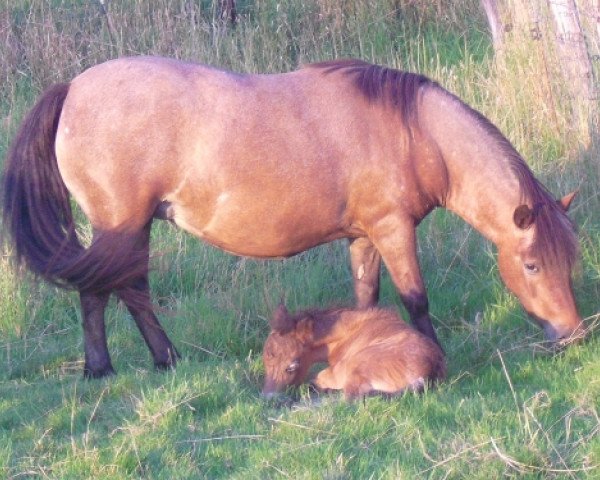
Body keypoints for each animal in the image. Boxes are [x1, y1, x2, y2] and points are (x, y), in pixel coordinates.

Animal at [2, 57, 584, 378]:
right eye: (532, 265)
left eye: (571, 263)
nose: (573, 333)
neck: (413, 132)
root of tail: (73, 88)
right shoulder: (393, 230)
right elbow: (415, 299)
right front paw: (434, 357)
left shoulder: (363, 236)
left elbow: (365, 300)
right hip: (120, 225)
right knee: (112, 290)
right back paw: (120, 366)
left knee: (117, 289)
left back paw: (138, 363)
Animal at [262, 304, 446, 402]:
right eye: (265, 362)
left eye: (292, 366)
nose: (268, 398)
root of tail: (429, 370)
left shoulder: (335, 372)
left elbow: (316, 379)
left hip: (356, 366)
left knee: (350, 397)